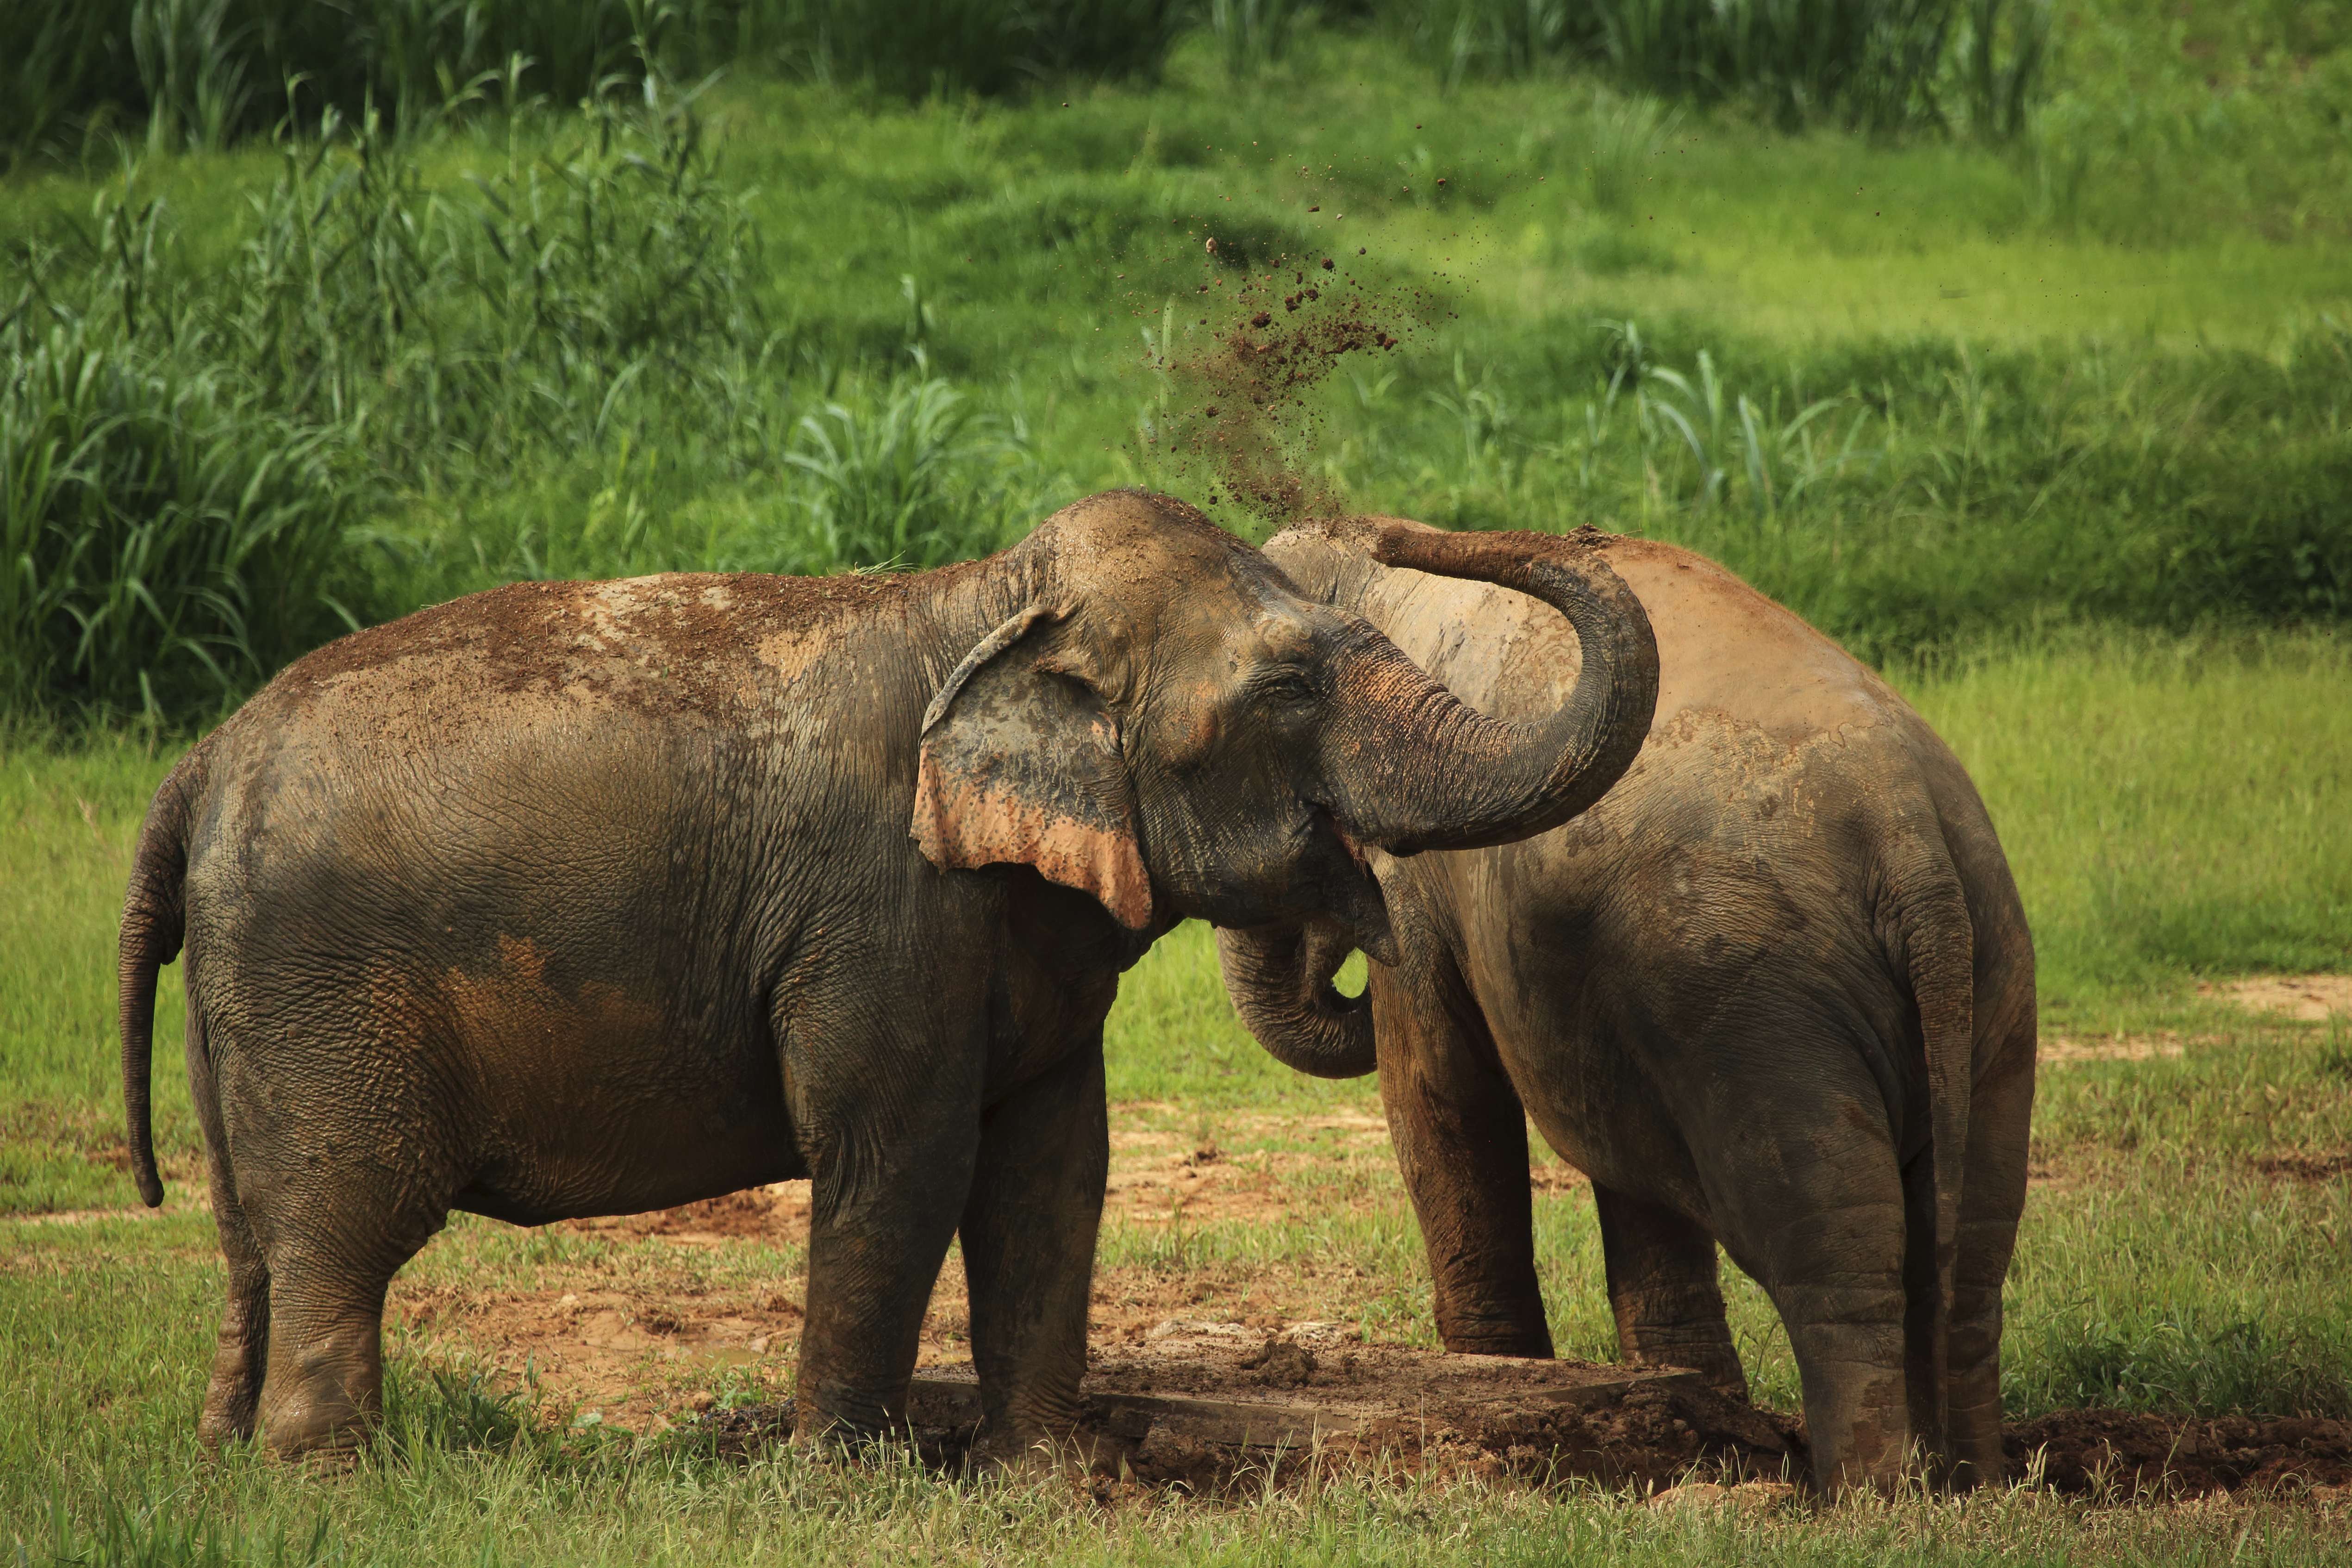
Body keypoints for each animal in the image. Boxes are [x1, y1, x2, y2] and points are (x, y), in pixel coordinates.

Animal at [117, 489, 1660, 1463]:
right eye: (1287, 691)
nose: (1371, 524)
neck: (990, 603)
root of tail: (201, 761)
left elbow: (1054, 1164)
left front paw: (1050, 1474)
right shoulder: (880, 908)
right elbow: (897, 1157)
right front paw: (837, 1479)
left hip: (244, 999)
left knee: (253, 1236)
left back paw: (227, 1461)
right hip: (323, 984)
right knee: (345, 1226)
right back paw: (330, 1477)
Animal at [1217, 517, 2035, 1495]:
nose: (1394, 530)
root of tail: (1910, 843)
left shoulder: (1417, 873)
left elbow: (1442, 1096)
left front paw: (1500, 1384)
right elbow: (1625, 1158)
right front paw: (1686, 1411)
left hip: (1758, 1002)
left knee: (1832, 1246)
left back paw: (1865, 1493)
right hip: (1992, 975)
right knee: (1973, 1249)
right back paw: (1974, 1479)